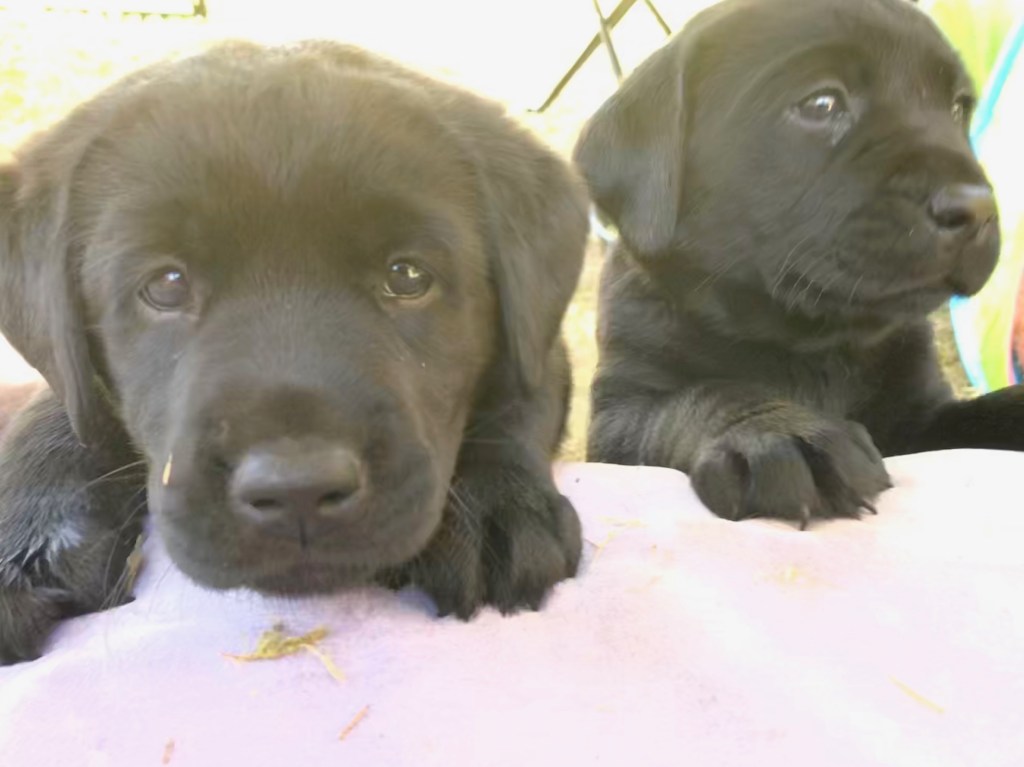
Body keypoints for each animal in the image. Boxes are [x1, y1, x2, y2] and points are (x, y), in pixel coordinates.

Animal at [0, 41, 587, 664]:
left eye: (407, 276)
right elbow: (55, 411)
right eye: (166, 284)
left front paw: (496, 506)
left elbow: (518, 399)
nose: (297, 490)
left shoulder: (538, 341)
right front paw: (28, 533)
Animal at [574, 0, 1024, 528]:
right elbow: (695, 398)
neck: (812, 344)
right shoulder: (618, 415)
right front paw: (778, 431)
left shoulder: (921, 417)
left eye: (957, 108)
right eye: (821, 105)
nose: (978, 208)